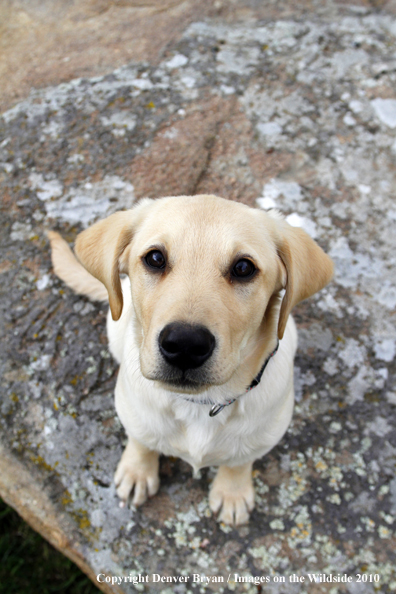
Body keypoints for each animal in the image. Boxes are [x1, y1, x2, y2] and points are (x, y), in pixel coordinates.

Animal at [50, 193, 334, 524]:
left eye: (243, 267)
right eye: (155, 259)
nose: (185, 344)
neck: (201, 405)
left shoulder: (266, 432)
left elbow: (240, 460)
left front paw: (232, 492)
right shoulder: (131, 408)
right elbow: (141, 439)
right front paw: (137, 471)